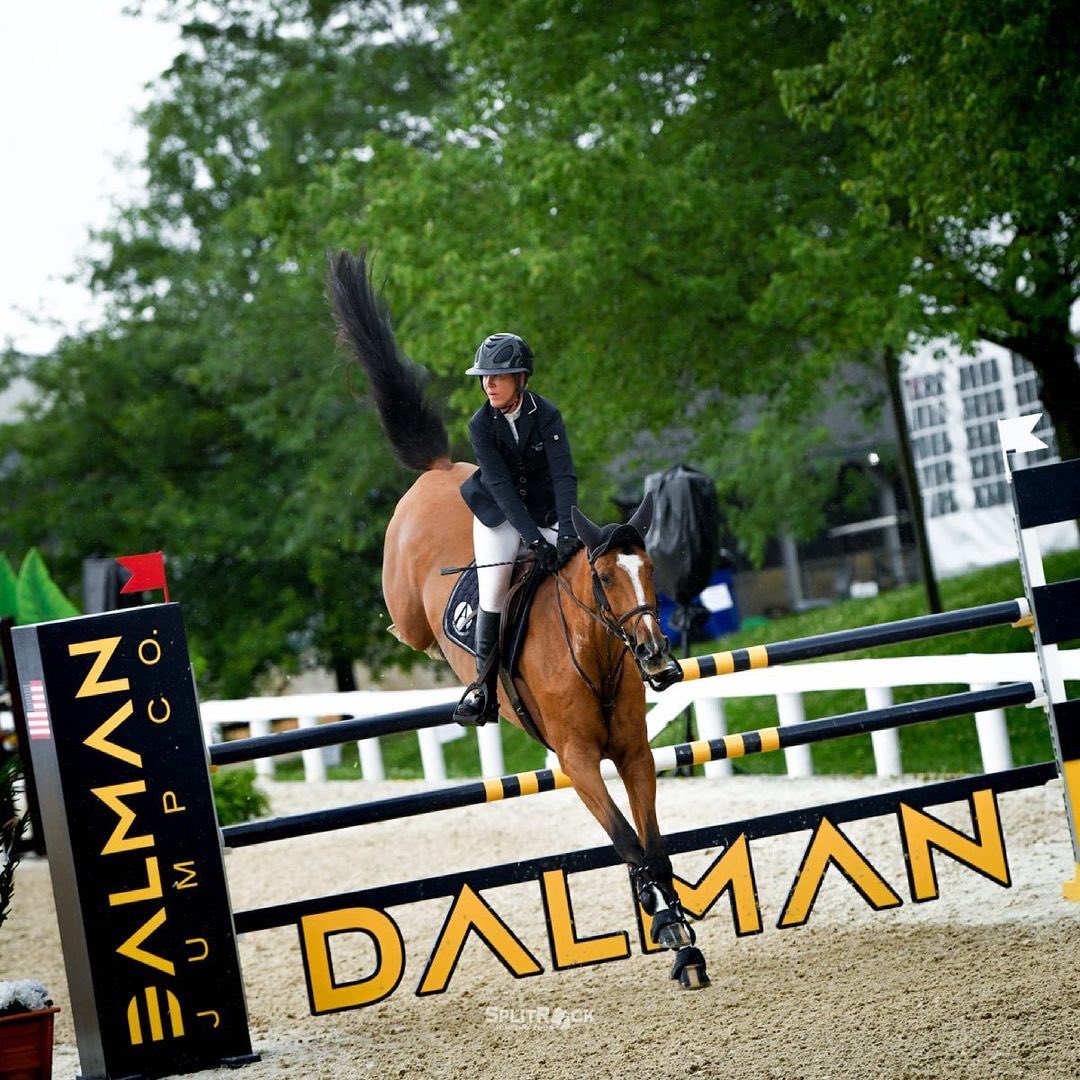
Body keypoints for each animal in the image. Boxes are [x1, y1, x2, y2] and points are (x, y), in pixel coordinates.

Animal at [327, 249, 708, 990]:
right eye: (604, 580)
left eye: (652, 572)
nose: (657, 660)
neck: (593, 655)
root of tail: (440, 470)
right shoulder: (579, 760)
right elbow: (627, 842)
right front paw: (668, 925)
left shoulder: (634, 752)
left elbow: (654, 842)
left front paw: (682, 940)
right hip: (413, 596)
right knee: (407, 628)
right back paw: (450, 673)